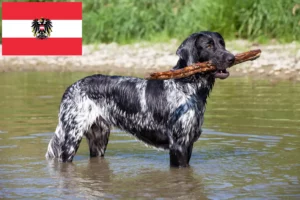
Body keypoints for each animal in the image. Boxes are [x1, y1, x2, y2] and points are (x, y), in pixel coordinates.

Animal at [45, 30, 236, 167]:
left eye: (223, 44)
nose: (232, 58)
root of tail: (71, 88)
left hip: (99, 139)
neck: (187, 86)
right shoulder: (178, 145)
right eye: (209, 45)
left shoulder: (188, 143)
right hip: (70, 140)